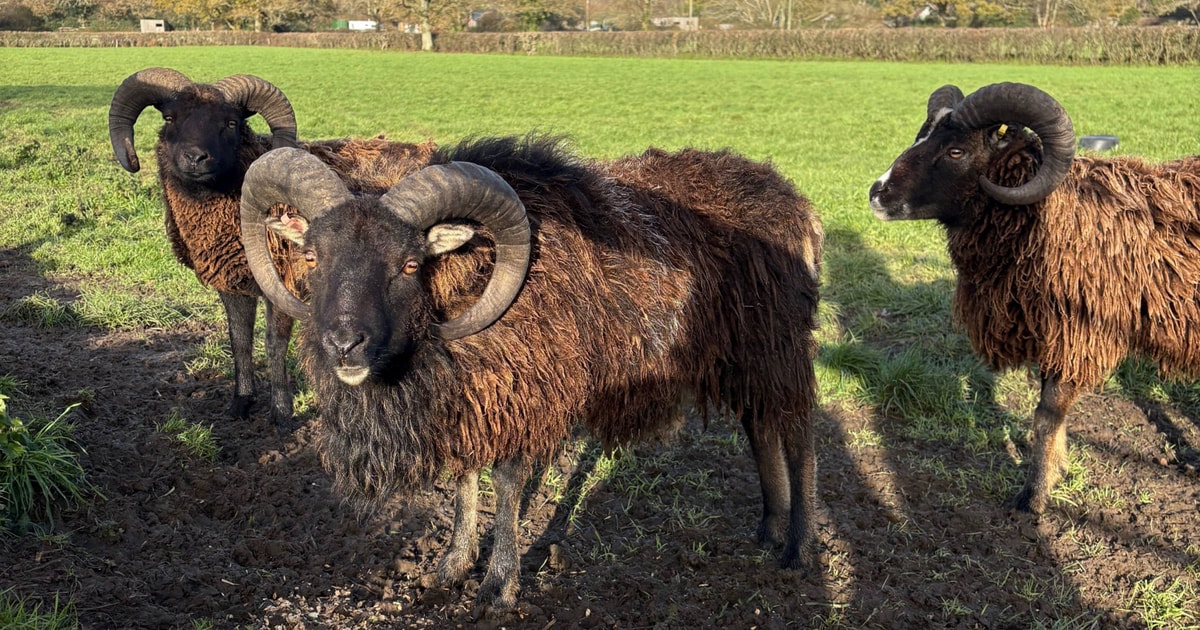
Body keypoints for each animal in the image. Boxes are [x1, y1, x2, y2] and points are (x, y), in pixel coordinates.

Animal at [108, 67, 435, 429]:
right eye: (169, 117)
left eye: (231, 123)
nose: (195, 158)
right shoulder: (232, 282)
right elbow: (239, 340)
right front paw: (241, 402)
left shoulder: (283, 282)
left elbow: (274, 344)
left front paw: (281, 412)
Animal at [238, 136, 824, 609]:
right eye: (311, 258)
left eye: (409, 264)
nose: (344, 345)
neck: (470, 286)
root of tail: (794, 201)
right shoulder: (474, 397)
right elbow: (465, 479)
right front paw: (451, 567)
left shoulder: (526, 391)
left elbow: (506, 483)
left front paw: (499, 585)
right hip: (744, 356)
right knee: (760, 429)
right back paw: (768, 529)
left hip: (779, 347)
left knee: (797, 438)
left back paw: (798, 548)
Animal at [868, 81, 1200, 514]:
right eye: (920, 135)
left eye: (956, 151)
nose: (876, 193)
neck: (1043, 215)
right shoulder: (1051, 333)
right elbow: (1050, 413)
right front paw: (1058, 471)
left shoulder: (1075, 334)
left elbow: (1046, 415)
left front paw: (1034, 497)